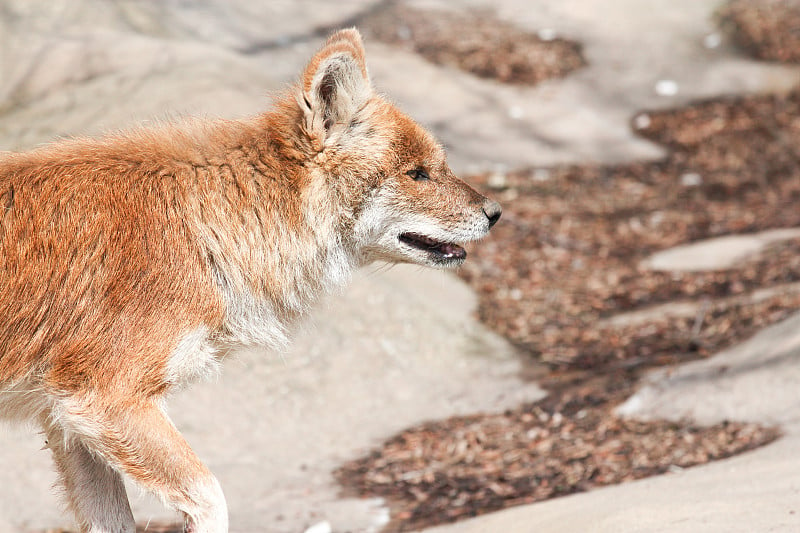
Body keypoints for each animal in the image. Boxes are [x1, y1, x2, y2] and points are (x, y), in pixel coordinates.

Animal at [0, 30, 500, 532]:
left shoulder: (64, 417)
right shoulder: (104, 398)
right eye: (417, 173)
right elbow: (211, 498)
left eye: (438, 166)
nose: (495, 212)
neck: (204, 227)